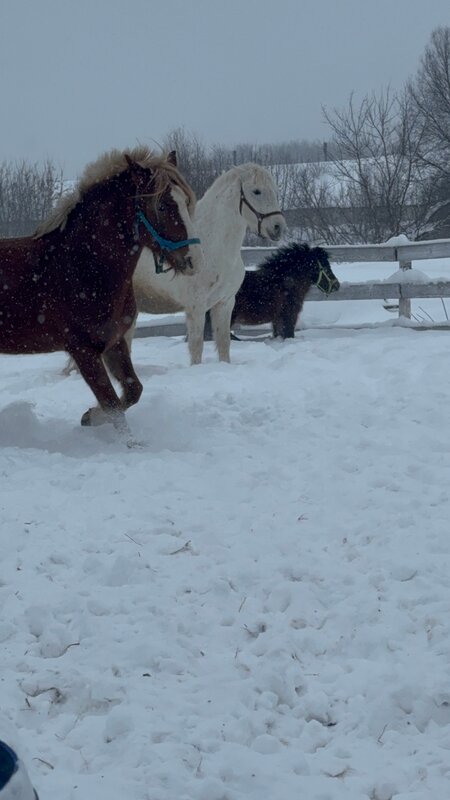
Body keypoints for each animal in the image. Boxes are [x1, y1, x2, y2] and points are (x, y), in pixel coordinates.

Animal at [0, 146, 203, 430]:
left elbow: (133, 390)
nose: (195, 260)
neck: (84, 267)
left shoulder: (114, 341)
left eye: (186, 202)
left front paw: (90, 416)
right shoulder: (83, 350)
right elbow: (114, 407)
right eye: (162, 205)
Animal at [130, 162, 286, 364]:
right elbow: (197, 346)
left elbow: (224, 342)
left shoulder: (225, 303)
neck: (213, 245)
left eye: (274, 191)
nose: (278, 227)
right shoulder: (196, 307)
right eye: (257, 191)